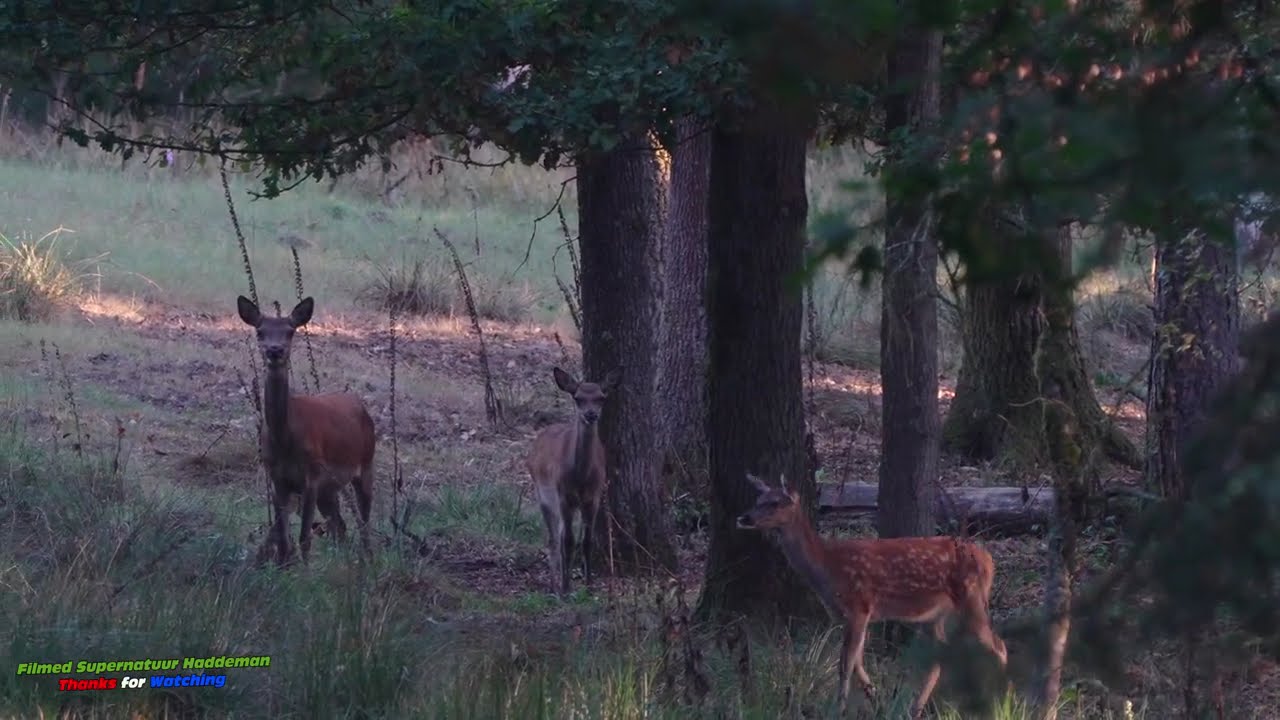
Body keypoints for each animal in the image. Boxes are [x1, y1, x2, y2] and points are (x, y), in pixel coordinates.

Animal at [237, 295, 377, 566]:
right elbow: (282, 538)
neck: (285, 439)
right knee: (340, 525)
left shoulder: (312, 475)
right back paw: (343, 562)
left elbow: (304, 537)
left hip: (365, 464)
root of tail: (360, 405)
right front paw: (283, 569)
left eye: (290, 331)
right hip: (330, 487)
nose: (275, 350)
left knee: (364, 521)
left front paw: (305, 571)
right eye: (260, 331)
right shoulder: (278, 478)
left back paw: (366, 561)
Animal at [525, 366, 621, 597]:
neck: (581, 477)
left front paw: (589, 585)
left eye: (601, 397)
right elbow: (568, 542)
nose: (590, 414)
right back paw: (554, 586)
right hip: (543, 494)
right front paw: (566, 589)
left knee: (559, 536)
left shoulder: (593, 498)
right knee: (553, 539)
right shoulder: (563, 496)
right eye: (578, 398)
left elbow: (586, 541)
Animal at [736, 473, 1007, 718]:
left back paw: (1004, 704)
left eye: (775, 502)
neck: (828, 566)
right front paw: (877, 699)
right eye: (758, 499)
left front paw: (838, 709)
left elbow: (845, 664)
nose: (743, 517)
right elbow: (857, 662)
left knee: (999, 646)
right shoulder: (852, 615)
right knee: (939, 659)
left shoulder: (859, 606)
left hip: (972, 598)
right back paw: (915, 709)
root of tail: (989, 560)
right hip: (934, 615)